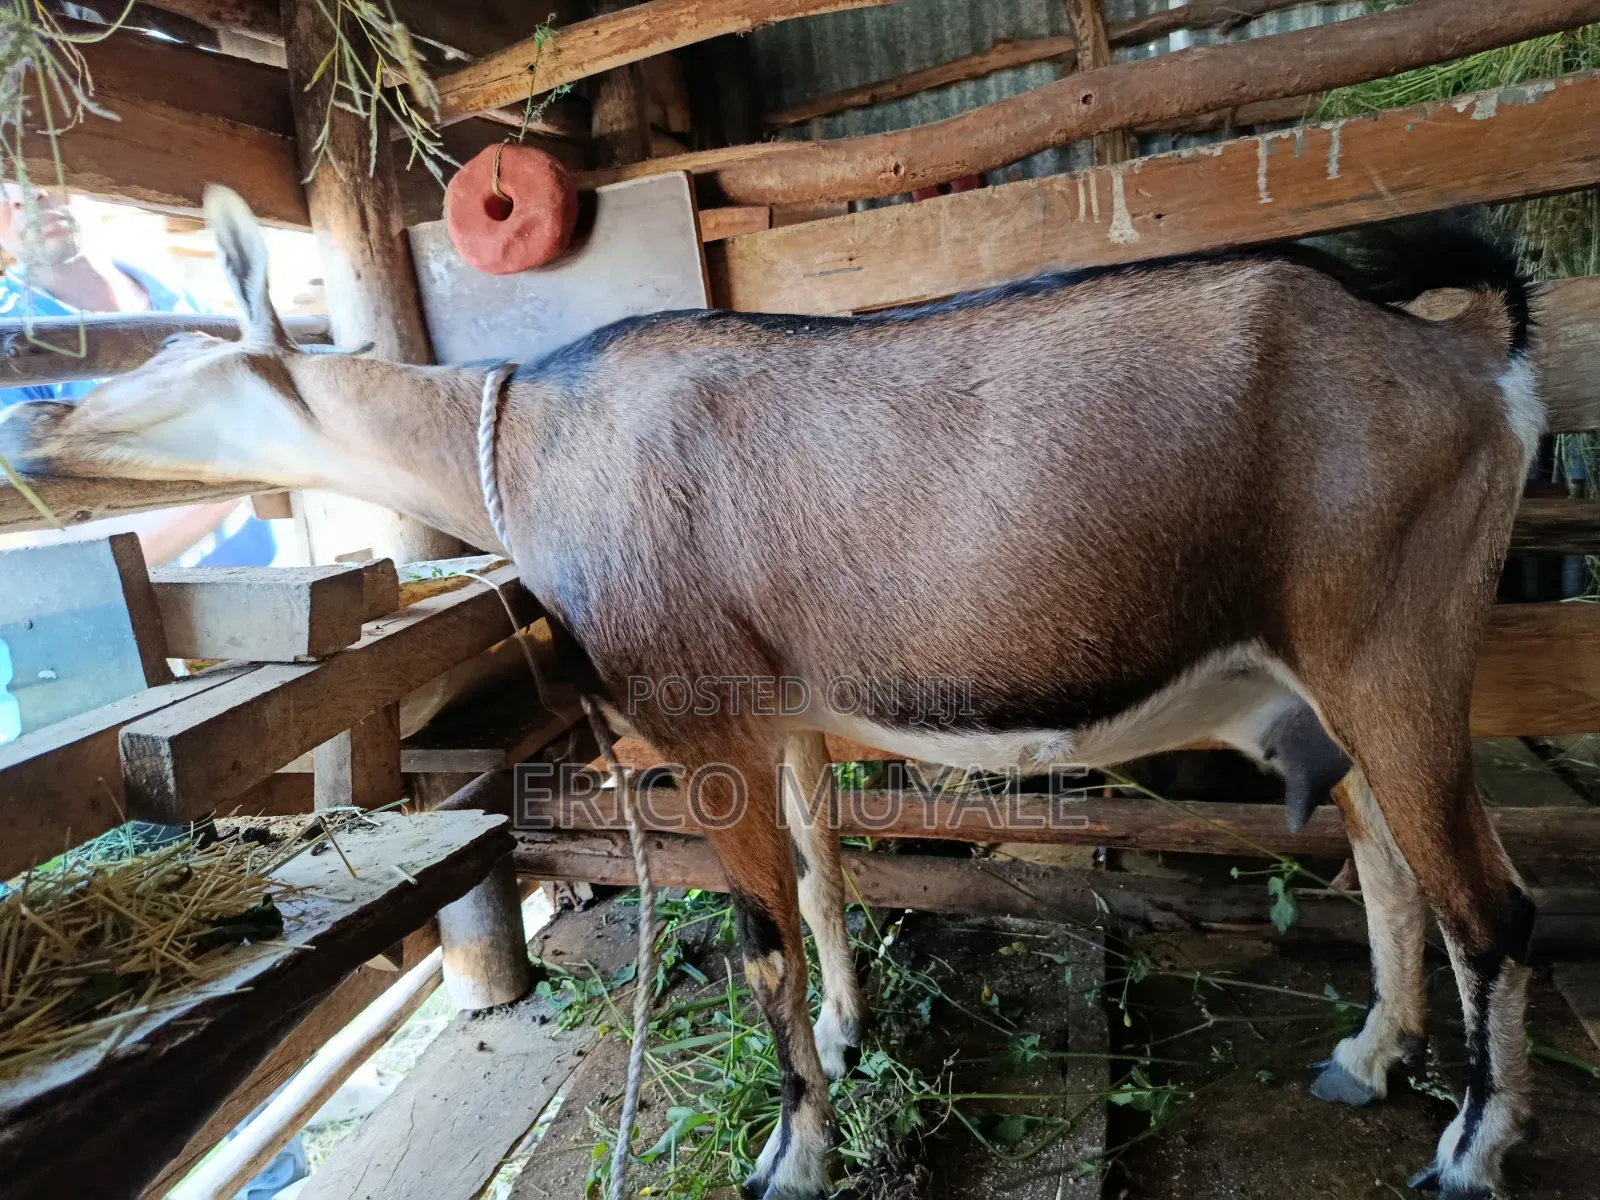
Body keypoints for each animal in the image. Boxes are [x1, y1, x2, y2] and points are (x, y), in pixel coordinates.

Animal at [0, 187, 1541, 1200]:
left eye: (172, 355)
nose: (36, 425)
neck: (527, 434)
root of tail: (1480, 366)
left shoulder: (703, 717)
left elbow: (758, 940)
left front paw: (791, 1152)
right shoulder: (785, 715)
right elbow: (819, 872)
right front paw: (854, 1042)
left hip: (1394, 641)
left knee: (1491, 904)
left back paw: (1468, 1151)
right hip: (1328, 673)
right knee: (1390, 865)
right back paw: (1368, 1056)